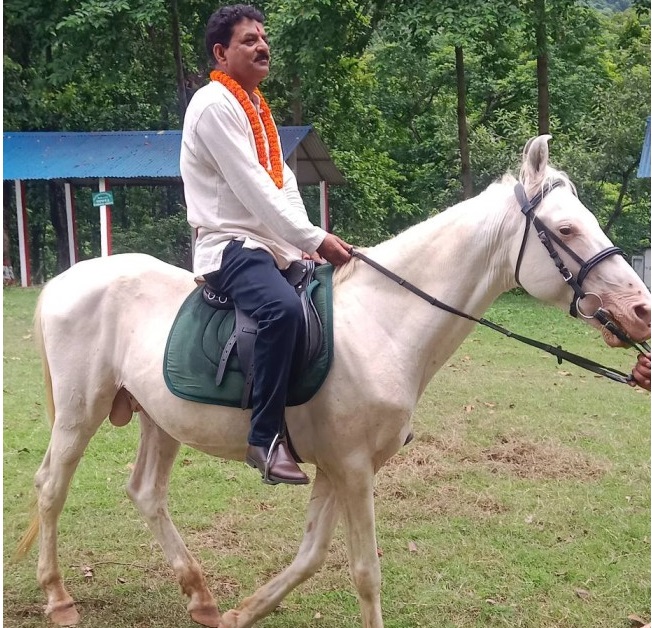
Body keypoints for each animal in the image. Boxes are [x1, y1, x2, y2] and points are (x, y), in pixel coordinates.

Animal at [16, 135, 650, 628]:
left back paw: (201, 598)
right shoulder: (353, 466)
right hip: (79, 413)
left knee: (145, 492)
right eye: (566, 227)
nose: (640, 310)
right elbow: (365, 570)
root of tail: (68, 279)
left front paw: (243, 612)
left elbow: (311, 555)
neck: (384, 323)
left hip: (160, 419)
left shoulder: (331, 466)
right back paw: (59, 598)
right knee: (51, 486)